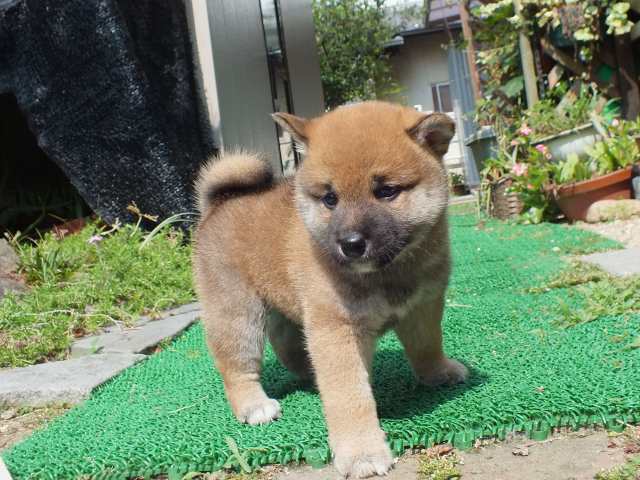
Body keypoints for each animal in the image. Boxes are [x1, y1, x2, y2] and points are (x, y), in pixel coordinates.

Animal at [192, 100, 468, 476]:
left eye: (386, 191)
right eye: (330, 198)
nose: (350, 243)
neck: (389, 273)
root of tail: (218, 205)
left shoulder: (423, 307)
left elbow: (427, 346)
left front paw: (438, 372)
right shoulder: (337, 328)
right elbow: (350, 397)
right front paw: (361, 452)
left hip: (286, 308)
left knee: (288, 346)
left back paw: (310, 375)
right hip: (237, 317)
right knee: (237, 367)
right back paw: (254, 405)